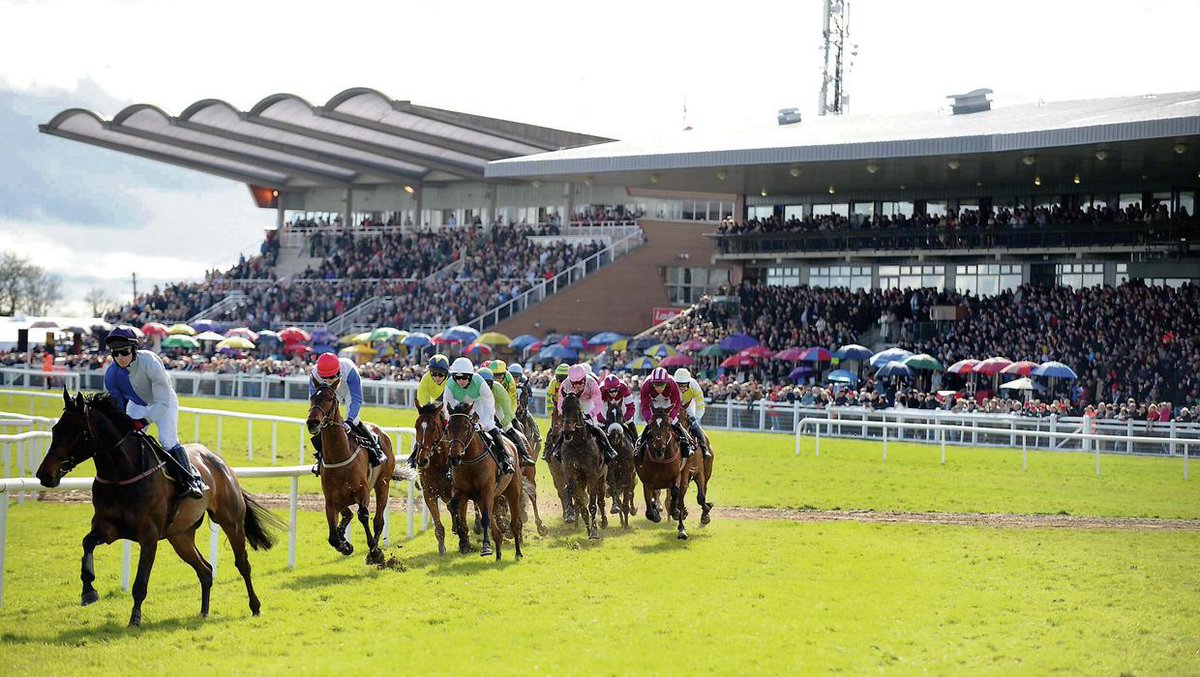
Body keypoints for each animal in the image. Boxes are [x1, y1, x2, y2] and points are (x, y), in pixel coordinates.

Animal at [35, 391, 283, 628]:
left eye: (75, 432)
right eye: (55, 429)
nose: (44, 474)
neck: (123, 475)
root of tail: (219, 461)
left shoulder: (149, 536)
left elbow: (140, 583)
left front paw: (135, 619)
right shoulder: (108, 528)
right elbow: (87, 543)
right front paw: (88, 591)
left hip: (231, 521)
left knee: (242, 563)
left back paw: (255, 606)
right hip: (180, 536)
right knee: (205, 570)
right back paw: (203, 611)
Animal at [309, 381, 398, 566]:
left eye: (330, 398)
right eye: (312, 397)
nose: (312, 422)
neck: (339, 456)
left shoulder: (362, 492)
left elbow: (363, 516)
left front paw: (374, 552)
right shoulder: (330, 499)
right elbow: (333, 537)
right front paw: (344, 545)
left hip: (383, 484)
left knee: (378, 520)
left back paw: (374, 551)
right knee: (348, 514)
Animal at [412, 400, 458, 554]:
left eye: (433, 428)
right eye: (416, 426)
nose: (422, 460)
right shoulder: (429, 493)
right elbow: (439, 525)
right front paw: (442, 549)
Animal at [444, 400, 523, 561]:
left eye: (466, 427)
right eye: (447, 429)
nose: (454, 457)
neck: (470, 460)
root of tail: (510, 443)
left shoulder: (486, 490)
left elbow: (486, 518)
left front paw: (486, 547)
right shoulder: (462, 491)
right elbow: (453, 506)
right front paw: (462, 537)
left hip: (512, 491)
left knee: (515, 523)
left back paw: (518, 552)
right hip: (481, 498)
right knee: (495, 528)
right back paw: (498, 553)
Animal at [556, 391, 604, 540]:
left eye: (577, 408)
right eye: (563, 407)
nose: (567, 432)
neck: (577, 444)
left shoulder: (592, 475)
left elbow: (592, 504)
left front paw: (594, 533)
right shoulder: (571, 473)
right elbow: (578, 501)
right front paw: (571, 516)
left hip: (602, 477)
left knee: (600, 499)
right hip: (581, 480)